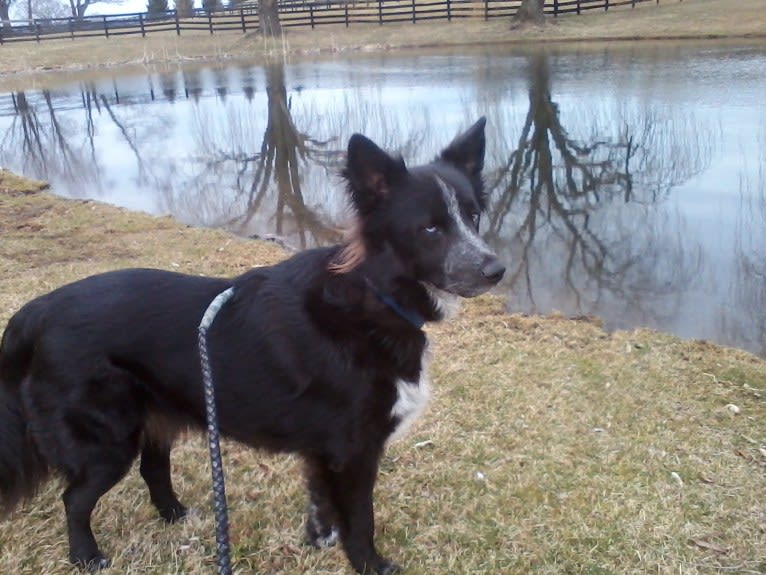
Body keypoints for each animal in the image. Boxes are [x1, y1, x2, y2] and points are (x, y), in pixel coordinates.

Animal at [0, 118, 508, 575]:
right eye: (430, 229)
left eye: (473, 216)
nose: (496, 270)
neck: (374, 293)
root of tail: (36, 310)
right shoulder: (354, 449)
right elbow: (360, 520)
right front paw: (370, 565)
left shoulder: (324, 451)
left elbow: (323, 503)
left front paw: (320, 539)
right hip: (107, 440)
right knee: (74, 498)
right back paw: (86, 557)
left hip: (155, 415)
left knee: (153, 469)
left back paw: (177, 516)